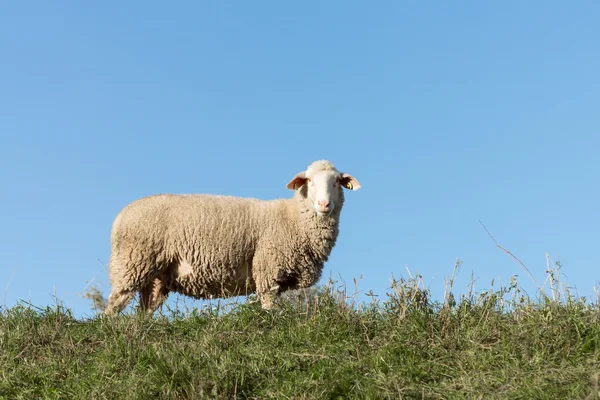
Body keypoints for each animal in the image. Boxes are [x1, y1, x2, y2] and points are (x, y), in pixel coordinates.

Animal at [103, 160, 360, 316]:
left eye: (336, 182)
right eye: (309, 181)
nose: (324, 204)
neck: (293, 217)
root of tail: (120, 216)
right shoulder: (267, 269)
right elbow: (269, 307)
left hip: (156, 277)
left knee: (143, 312)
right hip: (132, 263)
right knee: (113, 306)